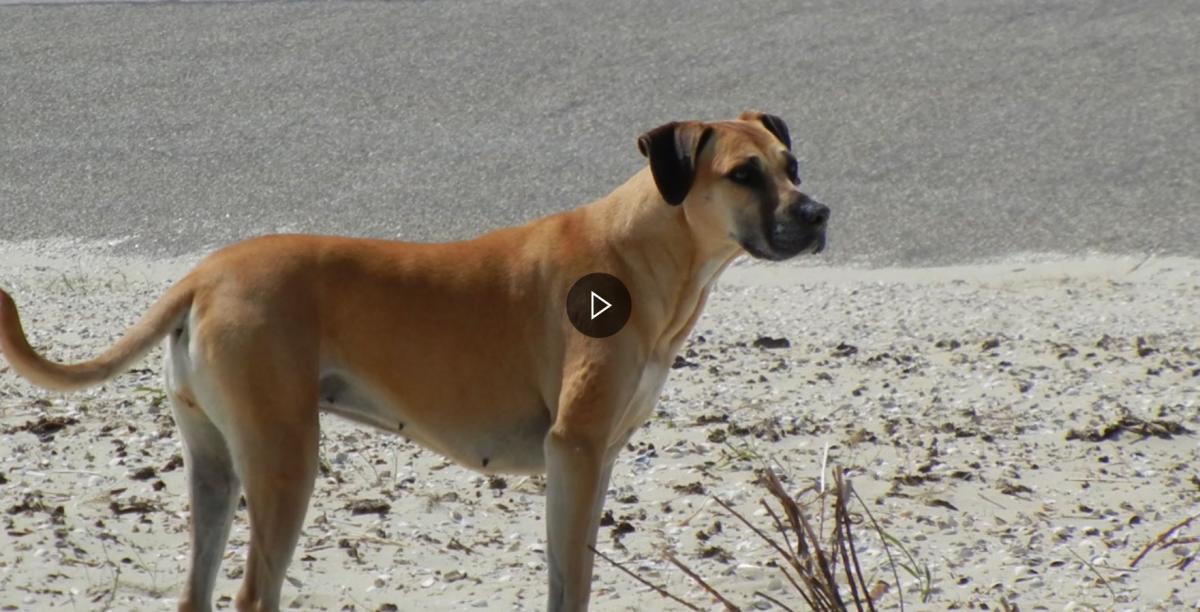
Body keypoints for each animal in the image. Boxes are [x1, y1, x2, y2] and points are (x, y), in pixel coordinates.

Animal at [0, 111, 829, 612]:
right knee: (254, 592)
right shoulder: (577, 452)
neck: (647, 246)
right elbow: (572, 578)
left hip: (215, 466)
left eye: (793, 163)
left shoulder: (596, 463)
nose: (818, 213)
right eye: (744, 174)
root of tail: (205, 274)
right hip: (284, 462)